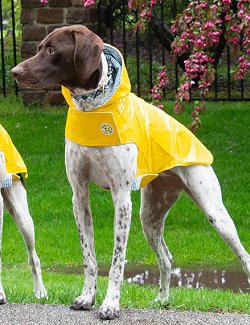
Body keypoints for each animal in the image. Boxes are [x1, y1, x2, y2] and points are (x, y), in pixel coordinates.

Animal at [12, 25, 250, 318]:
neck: (93, 108)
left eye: (52, 49)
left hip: (216, 213)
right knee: (166, 257)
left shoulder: (121, 197)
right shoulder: (79, 195)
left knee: (243, 256)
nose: (15, 72)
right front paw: (87, 297)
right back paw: (162, 299)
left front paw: (110, 304)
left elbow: (117, 260)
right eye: (39, 48)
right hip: (150, 216)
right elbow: (89, 257)